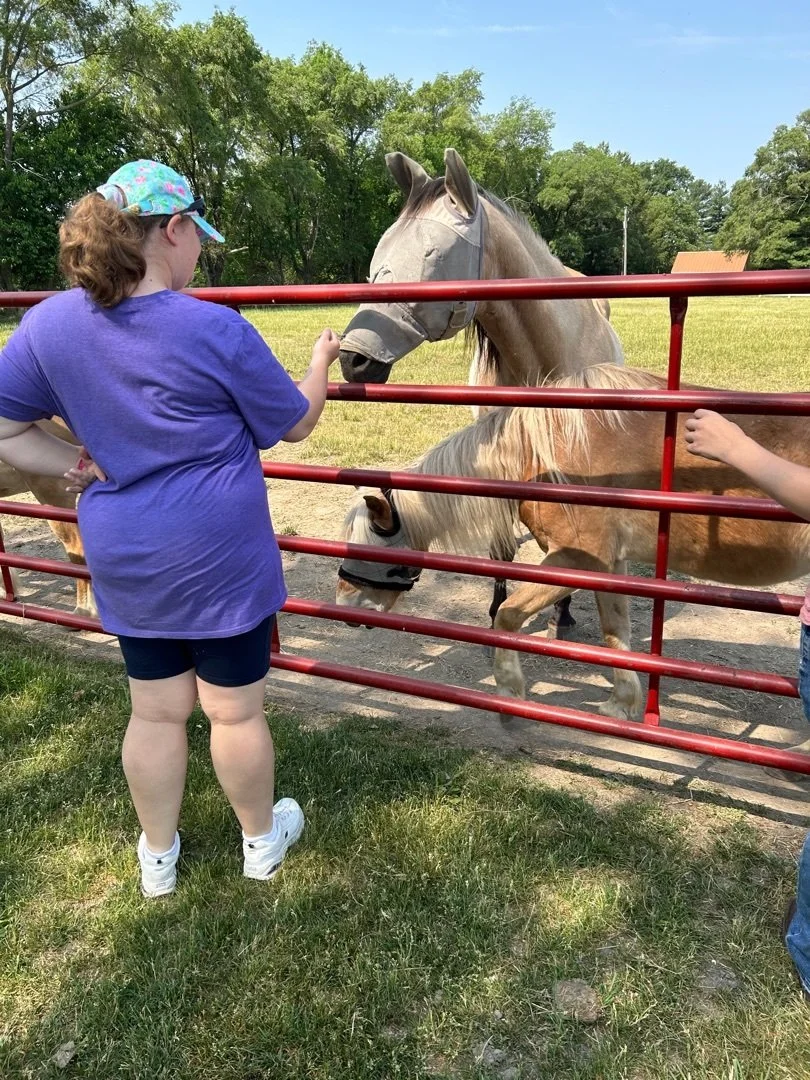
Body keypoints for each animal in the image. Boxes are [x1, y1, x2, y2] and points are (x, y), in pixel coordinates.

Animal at [336, 363, 810, 723]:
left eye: (370, 548)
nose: (344, 608)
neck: (544, 454)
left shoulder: (577, 559)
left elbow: (507, 616)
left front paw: (509, 693)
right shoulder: (611, 565)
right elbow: (615, 632)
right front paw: (620, 704)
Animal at [337, 147, 625, 638]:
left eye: (432, 256)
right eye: (380, 258)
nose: (351, 358)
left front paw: (563, 611)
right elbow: (501, 545)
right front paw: (494, 613)